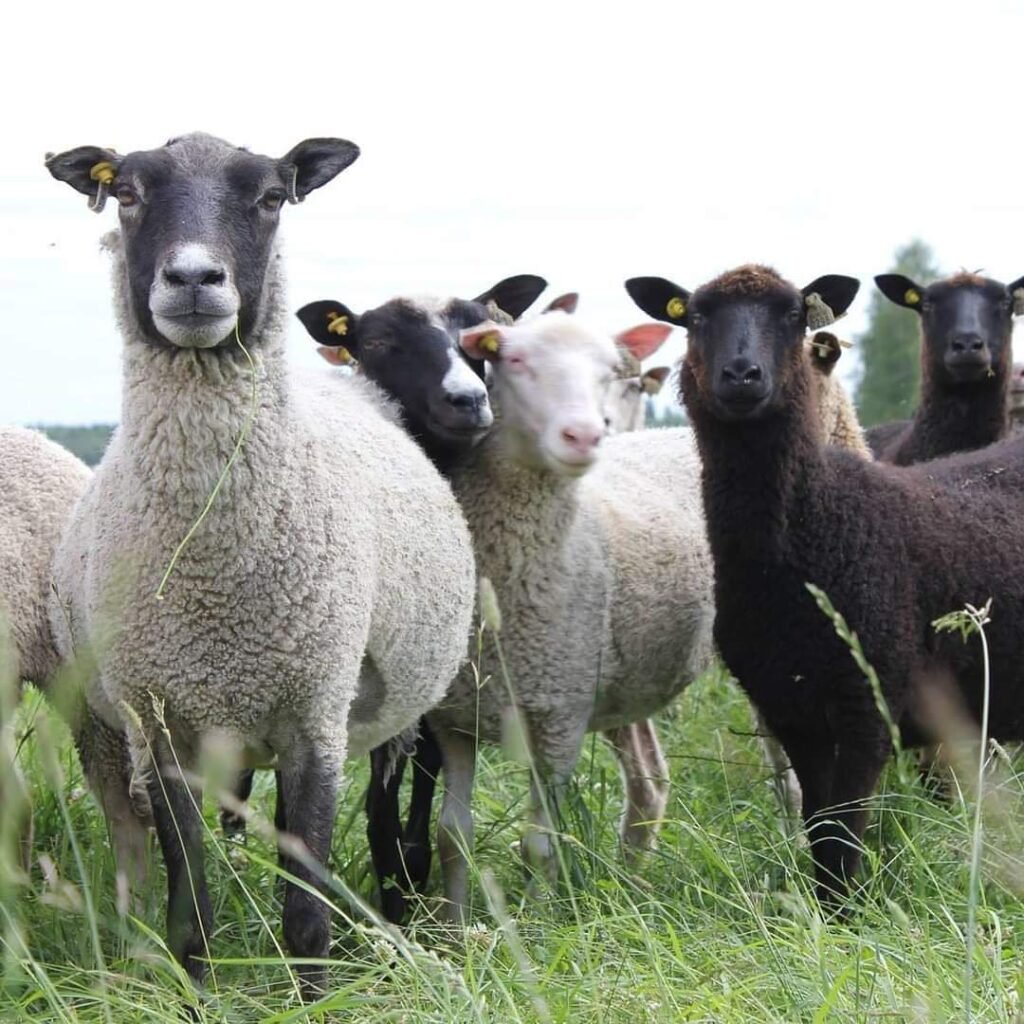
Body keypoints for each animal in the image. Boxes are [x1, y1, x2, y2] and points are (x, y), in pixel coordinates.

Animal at [45, 132, 476, 995]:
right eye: (127, 193)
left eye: (273, 196)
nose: (193, 280)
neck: (214, 576)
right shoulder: (158, 724)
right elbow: (190, 905)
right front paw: (199, 993)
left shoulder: (315, 715)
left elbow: (305, 906)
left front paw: (310, 998)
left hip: (388, 712)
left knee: (389, 821)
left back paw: (397, 914)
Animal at [429, 311, 716, 922]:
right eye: (514, 360)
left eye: (610, 372)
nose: (585, 435)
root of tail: (679, 434)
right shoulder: (454, 717)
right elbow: (452, 834)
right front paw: (453, 928)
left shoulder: (558, 715)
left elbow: (539, 844)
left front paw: (538, 925)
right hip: (618, 679)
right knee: (650, 782)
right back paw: (631, 886)